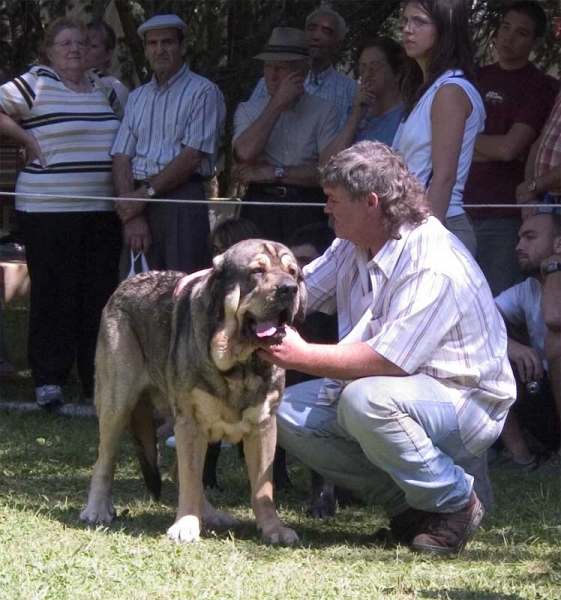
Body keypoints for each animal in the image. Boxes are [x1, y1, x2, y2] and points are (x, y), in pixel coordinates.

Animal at [81, 239, 304, 544]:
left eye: (293, 273)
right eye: (257, 271)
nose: (289, 289)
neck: (240, 365)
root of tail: (125, 283)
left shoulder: (263, 427)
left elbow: (263, 488)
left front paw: (274, 529)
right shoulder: (191, 423)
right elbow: (189, 478)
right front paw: (185, 524)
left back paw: (210, 515)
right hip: (118, 403)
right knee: (105, 460)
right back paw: (97, 509)